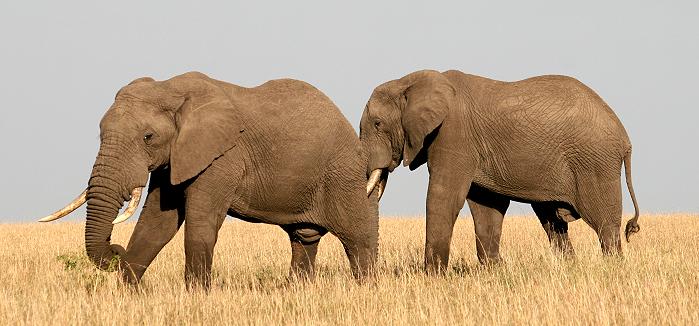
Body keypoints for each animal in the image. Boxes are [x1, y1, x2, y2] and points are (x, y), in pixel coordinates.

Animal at [38, 71, 378, 288]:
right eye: (99, 133)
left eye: (148, 137)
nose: (115, 251)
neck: (171, 88)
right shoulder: (175, 159)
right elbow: (156, 223)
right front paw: (127, 293)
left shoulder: (222, 157)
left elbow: (201, 223)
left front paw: (196, 295)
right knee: (303, 239)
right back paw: (297, 291)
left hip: (341, 173)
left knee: (356, 238)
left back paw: (366, 289)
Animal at [364, 69, 644, 272]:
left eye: (377, 124)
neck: (409, 82)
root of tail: (625, 138)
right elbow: (487, 206)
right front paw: (495, 270)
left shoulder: (454, 136)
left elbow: (444, 197)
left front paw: (432, 275)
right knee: (553, 223)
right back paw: (569, 268)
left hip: (595, 163)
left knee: (603, 223)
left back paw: (613, 267)